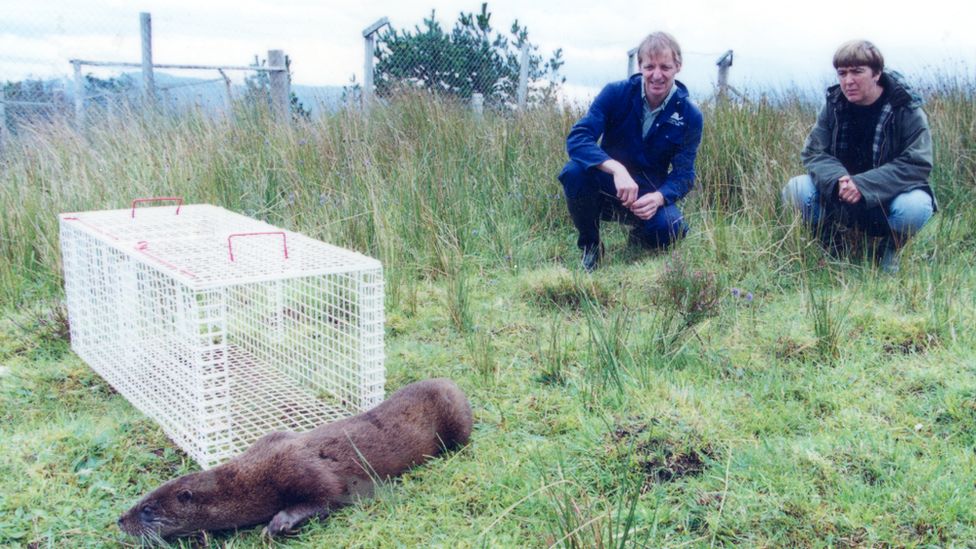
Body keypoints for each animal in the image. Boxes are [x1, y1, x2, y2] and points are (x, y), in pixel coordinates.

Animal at [116, 376, 474, 540]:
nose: (120, 520)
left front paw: (279, 522)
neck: (252, 478)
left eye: (147, 509)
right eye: (140, 501)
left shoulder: (303, 470)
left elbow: (325, 497)